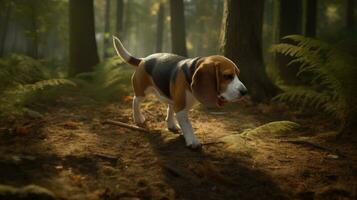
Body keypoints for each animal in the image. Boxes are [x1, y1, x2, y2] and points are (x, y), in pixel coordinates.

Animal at [112, 36, 246, 148]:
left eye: (238, 74)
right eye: (227, 76)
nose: (245, 91)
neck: (191, 72)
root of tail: (143, 59)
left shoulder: (180, 104)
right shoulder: (181, 108)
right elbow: (188, 125)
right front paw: (193, 141)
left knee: (170, 107)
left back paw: (171, 123)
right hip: (142, 91)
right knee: (135, 101)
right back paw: (138, 117)